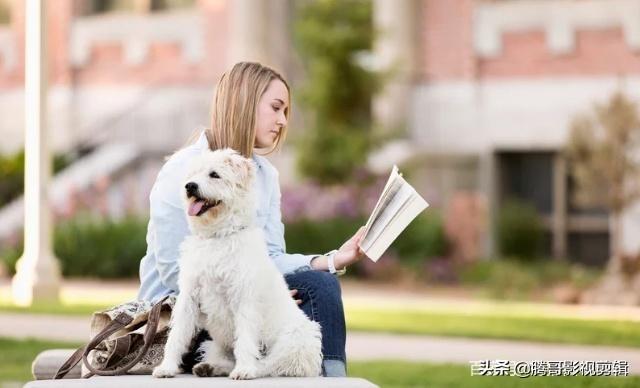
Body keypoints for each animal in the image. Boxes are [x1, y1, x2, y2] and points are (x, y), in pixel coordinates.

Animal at [152, 148, 322, 378]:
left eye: (214, 174)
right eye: (192, 175)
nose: (190, 186)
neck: (217, 237)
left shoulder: (244, 298)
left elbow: (245, 340)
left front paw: (244, 370)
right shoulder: (189, 297)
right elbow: (177, 335)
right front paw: (167, 367)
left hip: (296, 341)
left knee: (271, 364)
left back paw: (248, 369)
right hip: (215, 344)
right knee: (227, 358)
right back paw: (210, 367)